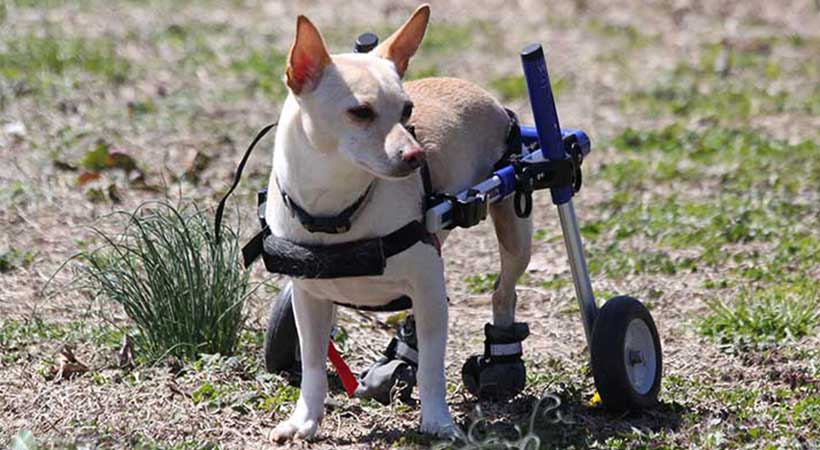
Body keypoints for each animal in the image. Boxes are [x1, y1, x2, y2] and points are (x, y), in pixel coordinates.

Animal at [262, 3, 532, 440]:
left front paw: (437, 421)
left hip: (514, 228)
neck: (338, 208)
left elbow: (433, 368)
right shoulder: (309, 298)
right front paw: (304, 420)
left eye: (407, 111)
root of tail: (481, 91)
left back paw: (501, 359)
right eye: (360, 113)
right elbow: (315, 363)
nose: (417, 156)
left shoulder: (429, 288)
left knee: (503, 292)